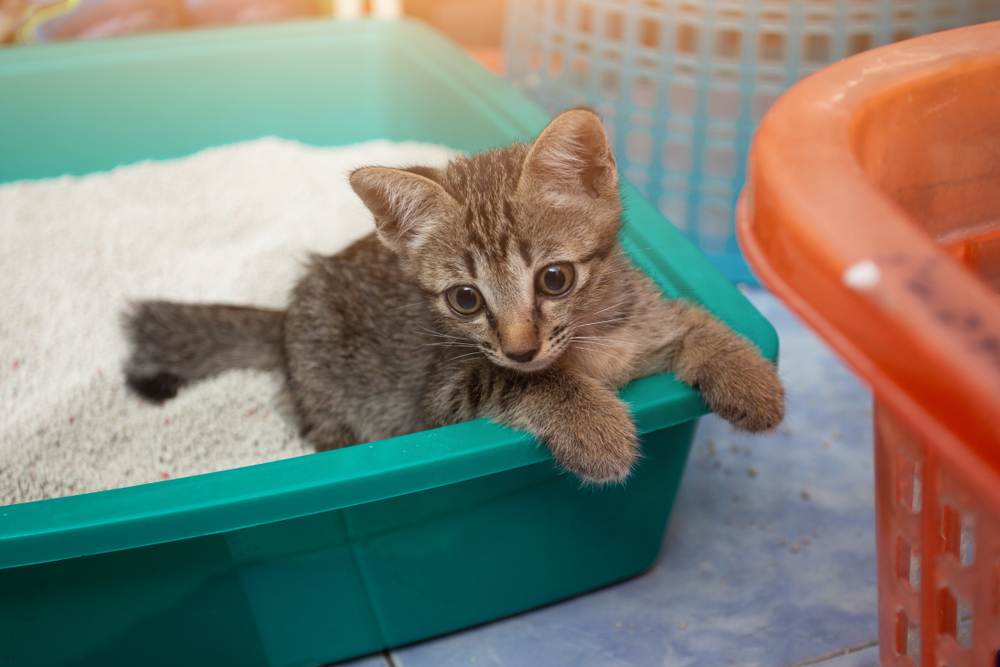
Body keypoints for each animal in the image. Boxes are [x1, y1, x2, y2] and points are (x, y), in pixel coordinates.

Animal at [123, 109, 780, 486]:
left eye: (555, 280)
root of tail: (285, 315)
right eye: (466, 299)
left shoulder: (648, 317)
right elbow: (532, 383)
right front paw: (595, 427)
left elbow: (696, 320)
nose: (519, 348)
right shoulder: (442, 397)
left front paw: (751, 381)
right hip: (331, 394)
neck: (593, 345)